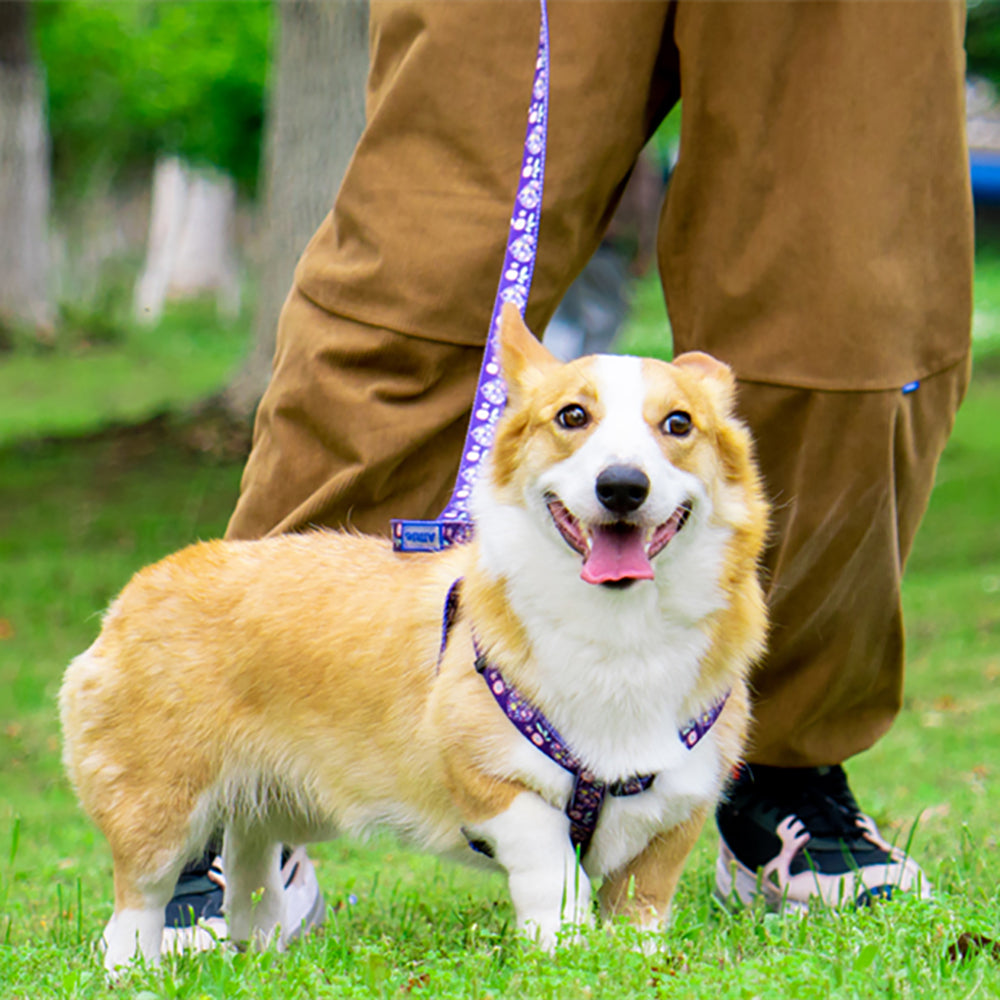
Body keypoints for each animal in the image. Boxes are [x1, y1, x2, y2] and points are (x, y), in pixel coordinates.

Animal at [58, 304, 768, 968]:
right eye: (572, 416)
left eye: (678, 424)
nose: (622, 485)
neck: (620, 631)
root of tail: (137, 588)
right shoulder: (492, 779)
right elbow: (553, 870)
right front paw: (562, 949)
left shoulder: (678, 804)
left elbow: (644, 905)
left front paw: (634, 962)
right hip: (160, 806)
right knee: (136, 905)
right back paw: (136, 972)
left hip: (273, 805)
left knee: (250, 873)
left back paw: (262, 957)